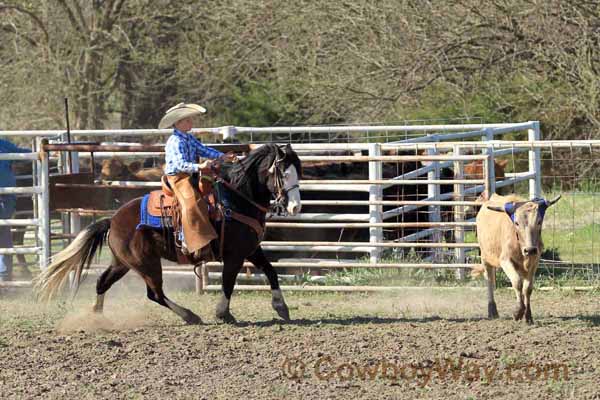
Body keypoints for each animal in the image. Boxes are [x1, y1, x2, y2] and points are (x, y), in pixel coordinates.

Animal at [35, 145, 302, 324]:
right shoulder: (235, 254)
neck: (236, 198)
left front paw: (281, 307)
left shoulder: (251, 249)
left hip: (123, 263)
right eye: (284, 173)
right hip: (146, 263)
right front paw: (223, 313)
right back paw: (189, 315)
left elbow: (271, 271)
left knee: (104, 282)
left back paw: (96, 317)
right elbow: (228, 282)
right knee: (155, 293)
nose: (295, 207)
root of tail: (113, 220)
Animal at [474, 192, 564, 324]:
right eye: (516, 223)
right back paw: (492, 310)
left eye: (539, 221)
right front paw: (518, 312)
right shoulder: (505, 261)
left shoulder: (534, 261)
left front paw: (528, 315)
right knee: (489, 280)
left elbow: (527, 288)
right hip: (485, 257)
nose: (530, 250)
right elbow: (517, 283)